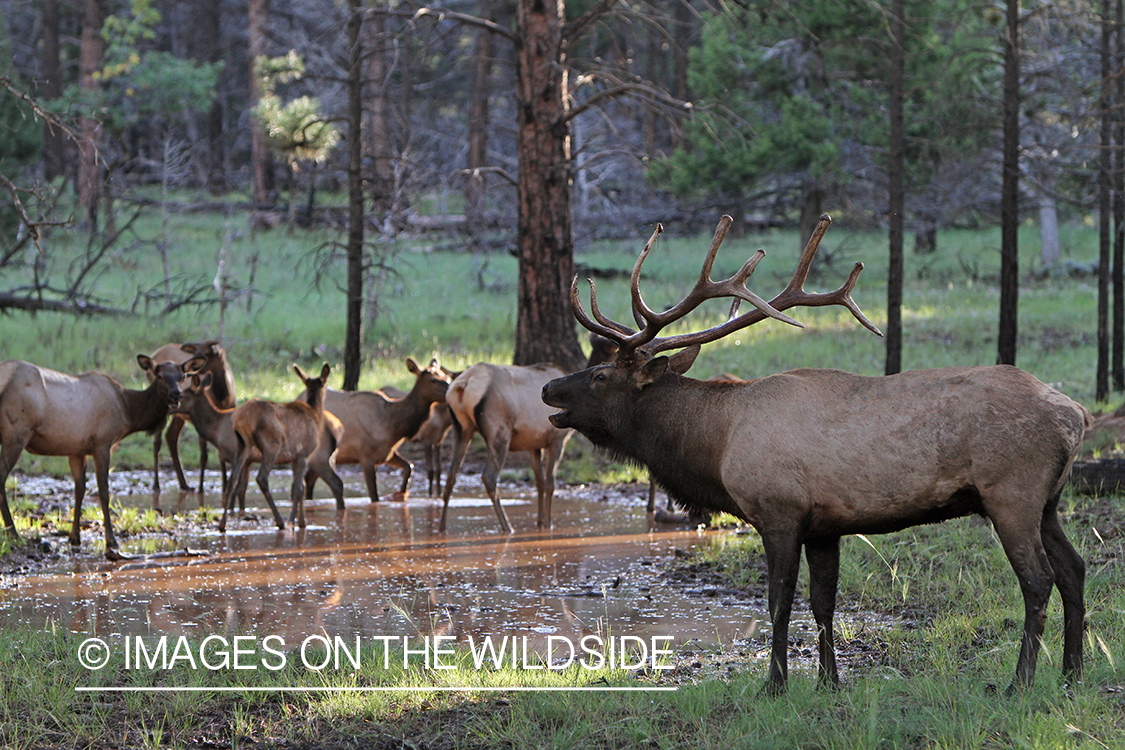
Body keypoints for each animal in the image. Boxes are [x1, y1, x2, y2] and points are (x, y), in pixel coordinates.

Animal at [0, 357, 189, 557]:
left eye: (182, 376)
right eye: (159, 376)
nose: (176, 394)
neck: (127, 412)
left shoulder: (77, 450)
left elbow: (79, 490)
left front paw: (74, 537)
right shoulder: (103, 443)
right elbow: (104, 492)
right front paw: (111, 540)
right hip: (16, 433)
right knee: (1, 478)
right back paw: (13, 532)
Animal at [146, 339, 236, 492]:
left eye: (206, 354)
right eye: (194, 354)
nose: (189, 373)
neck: (223, 399)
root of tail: (155, 353)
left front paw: (224, 486)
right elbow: (204, 455)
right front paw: (202, 488)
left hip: (180, 415)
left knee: (171, 436)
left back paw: (184, 483)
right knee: (157, 442)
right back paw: (157, 484)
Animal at [220, 359, 333, 530]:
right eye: (325, 385)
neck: (315, 416)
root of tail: (240, 420)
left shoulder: (294, 458)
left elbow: (300, 487)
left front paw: (302, 522)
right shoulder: (303, 453)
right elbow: (298, 489)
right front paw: (293, 521)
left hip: (242, 445)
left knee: (232, 479)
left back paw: (222, 524)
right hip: (271, 444)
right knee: (261, 478)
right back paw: (280, 521)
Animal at [438, 335, 621, 532]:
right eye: (615, 353)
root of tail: (463, 386)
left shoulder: (534, 444)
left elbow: (538, 482)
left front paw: (540, 522)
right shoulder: (556, 440)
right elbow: (550, 483)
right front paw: (548, 523)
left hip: (461, 428)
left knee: (451, 475)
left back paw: (442, 526)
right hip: (499, 430)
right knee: (489, 477)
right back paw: (507, 526)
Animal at [544, 213, 1089, 697]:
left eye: (600, 376)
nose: (550, 388)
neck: (715, 446)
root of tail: (1078, 414)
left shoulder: (778, 510)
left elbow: (779, 603)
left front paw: (775, 685)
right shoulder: (825, 525)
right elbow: (824, 603)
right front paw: (829, 682)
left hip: (1011, 493)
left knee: (1038, 579)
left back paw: (1021, 683)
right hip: (1048, 501)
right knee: (1075, 569)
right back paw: (1071, 676)